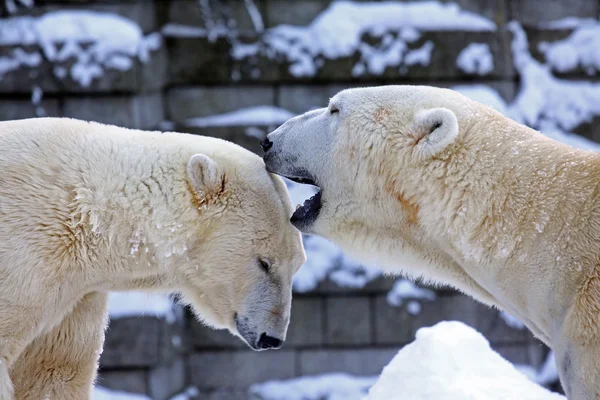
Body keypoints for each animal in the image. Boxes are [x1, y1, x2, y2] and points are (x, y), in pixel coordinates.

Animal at [0, 117, 304, 398]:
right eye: (264, 262)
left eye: (297, 265)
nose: (272, 338)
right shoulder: (27, 260)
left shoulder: (75, 297)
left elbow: (53, 371)